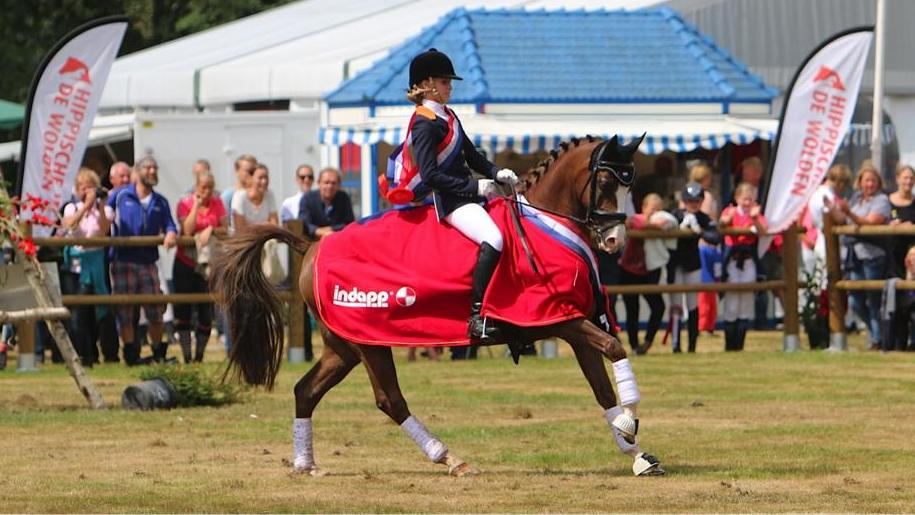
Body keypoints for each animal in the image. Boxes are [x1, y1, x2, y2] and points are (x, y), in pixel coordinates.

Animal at [212, 134, 664, 480]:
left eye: (631, 183)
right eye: (604, 179)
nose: (615, 242)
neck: (548, 224)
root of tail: (312, 246)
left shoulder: (574, 324)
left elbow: (602, 388)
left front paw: (636, 453)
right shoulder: (560, 320)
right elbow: (616, 349)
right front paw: (630, 421)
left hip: (344, 345)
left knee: (306, 390)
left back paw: (306, 464)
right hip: (370, 344)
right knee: (390, 400)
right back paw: (449, 458)